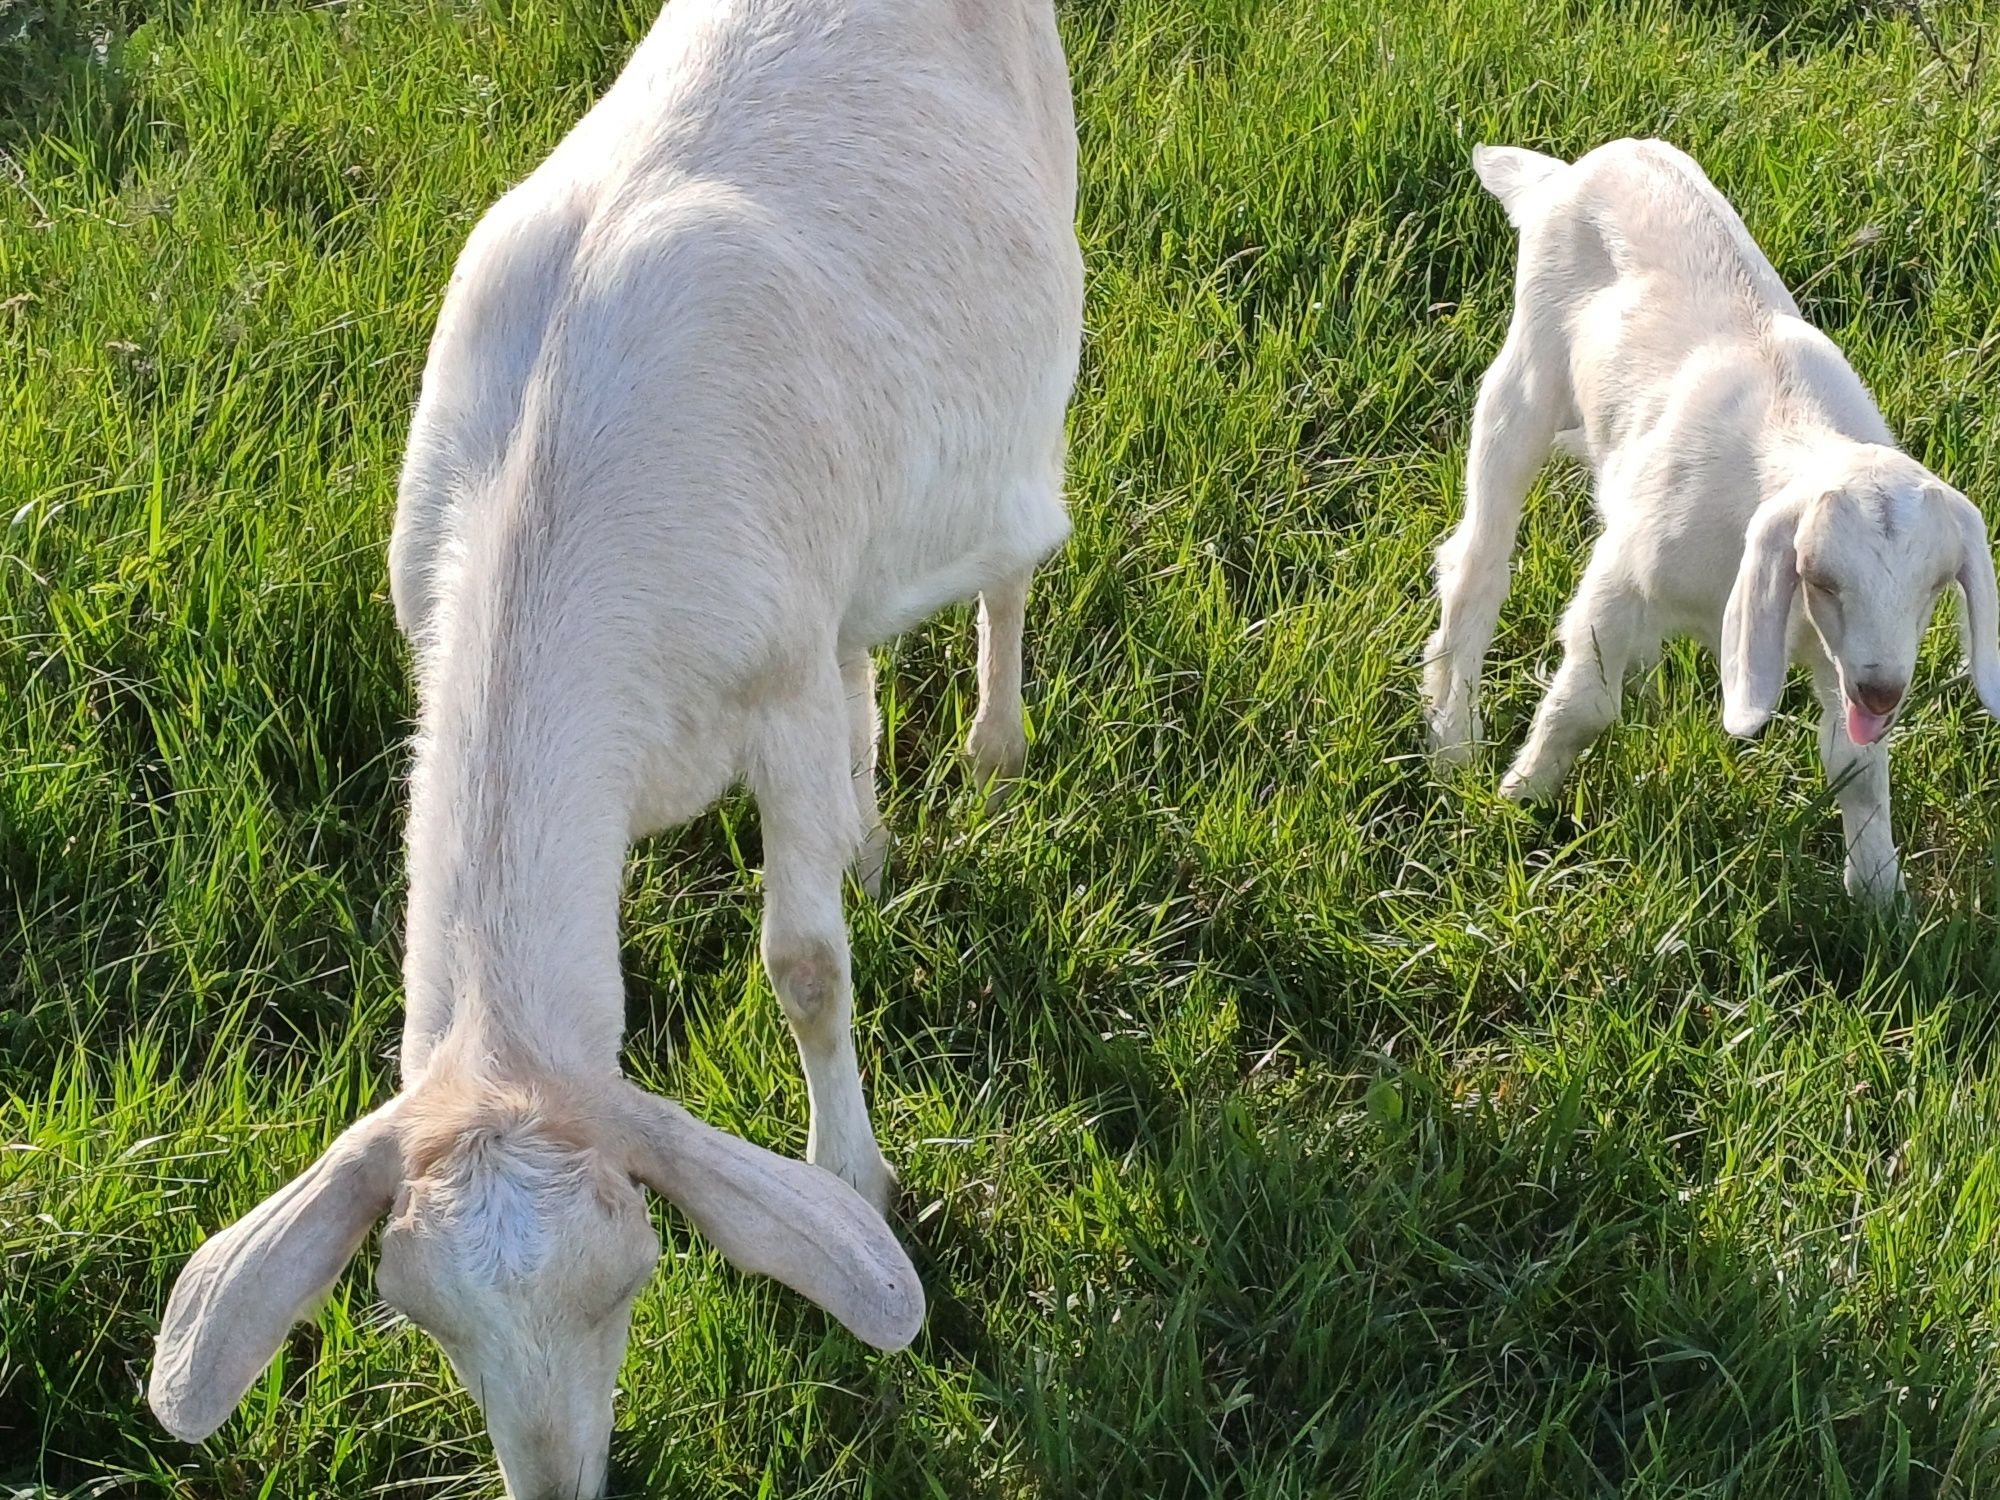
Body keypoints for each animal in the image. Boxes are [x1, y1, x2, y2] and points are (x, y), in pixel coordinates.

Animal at [148, 5, 1080, 1496]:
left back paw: (995, 744)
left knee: (1006, 568)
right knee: (864, 655)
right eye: (415, 1312)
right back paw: (878, 836)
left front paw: (854, 1176)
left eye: (631, 1278)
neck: (547, 503)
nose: (557, 1478)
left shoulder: (775, 696)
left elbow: (804, 966)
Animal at [1424, 138, 2000, 904]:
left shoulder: (1841, 651)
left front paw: (1880, 894)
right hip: (1523, 379)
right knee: (1476, 564)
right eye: (1821, 575)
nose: (1883, 688)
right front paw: (1519, 799)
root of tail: (1580, 169)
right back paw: (1455, 742)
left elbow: (1855, 763)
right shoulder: (1619, 585)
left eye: (1936, 586)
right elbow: (1583, 705)